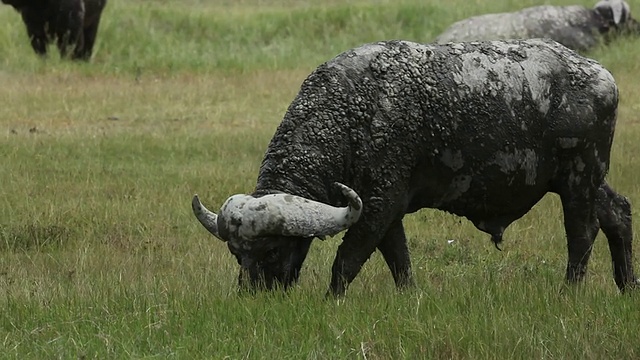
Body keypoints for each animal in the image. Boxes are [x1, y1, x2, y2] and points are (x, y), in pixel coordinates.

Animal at [192, 39, 636, 296]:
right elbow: (399, 260)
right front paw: (409, 296)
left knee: (583, 233)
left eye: (271, 248)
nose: (254, 295)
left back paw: (569, 293)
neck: (354, 112)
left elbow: (346, 261)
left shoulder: (378, 204)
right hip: (588, 180)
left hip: (579, 177)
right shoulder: (383, 208)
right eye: (236, 253)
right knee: (618, 212)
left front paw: (331, 300)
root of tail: (602, 76)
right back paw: (628, 286)